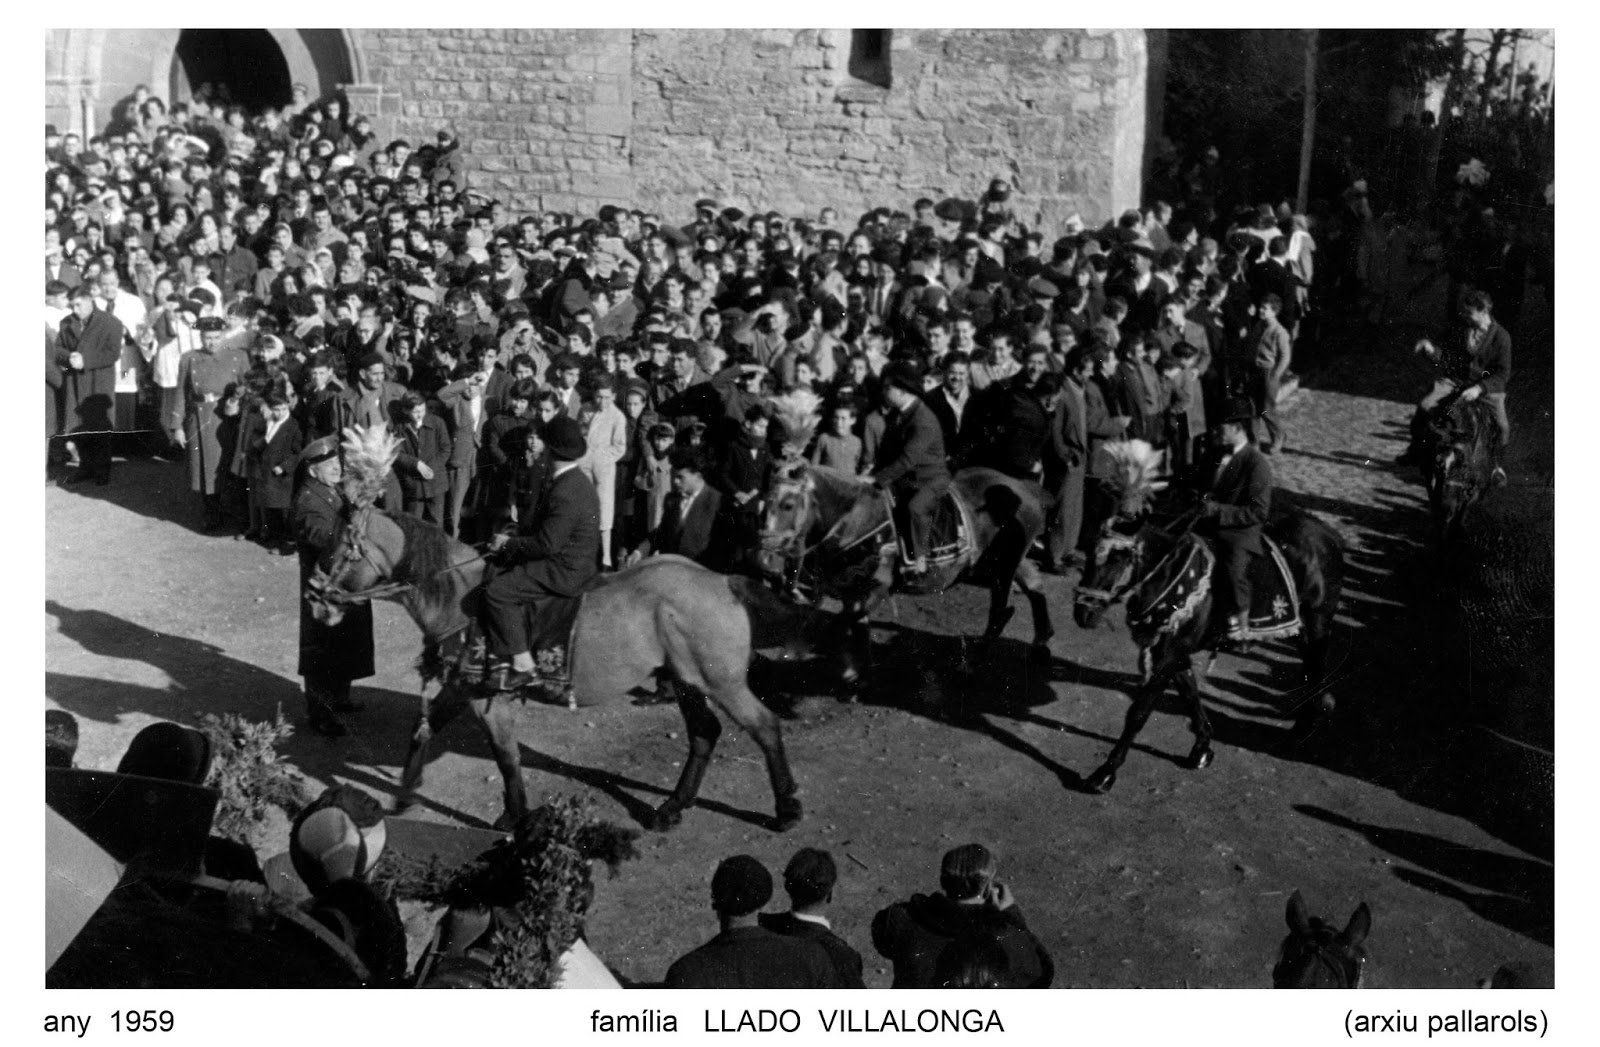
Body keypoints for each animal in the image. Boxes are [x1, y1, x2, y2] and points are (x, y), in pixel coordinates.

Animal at [305, 432, 819, 832]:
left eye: (344, 548)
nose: (314, 596)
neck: (462, 596)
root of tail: (721, 580)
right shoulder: (462, 688)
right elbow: (424, 730)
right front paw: (404, 794)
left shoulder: (490, 699)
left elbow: (507, 758)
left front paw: (515, 816)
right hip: (687, 680)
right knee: (705, 735)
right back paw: (671, 808)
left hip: (720, 681)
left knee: (763, 726)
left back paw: (788, 808)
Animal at [755, 392, 1056, 688]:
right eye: (765, 500)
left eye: (788, 504)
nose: (765, 552)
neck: (858, 518)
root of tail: (1024, 487)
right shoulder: (852, 591)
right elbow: (854, 627)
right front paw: (857, 671)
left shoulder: (876, 588)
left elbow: (840, 626)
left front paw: (822, 661)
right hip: (1007, 559)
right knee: (1035, 585)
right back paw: (1041, 642)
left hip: (1003, 565)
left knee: (1000, 610)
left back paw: (972, 663)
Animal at [1068, 441, 1344, 797]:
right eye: (1089, 551)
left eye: (1119, 556)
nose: (1083, 611)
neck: (1169, 572)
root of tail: (1331, 537)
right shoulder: (1172, 651)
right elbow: (1190, 696)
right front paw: (1202, 748)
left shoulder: (1168, 656)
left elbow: (1139, 712)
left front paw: (1105, 772)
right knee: (1313, 676)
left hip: (1316, 627)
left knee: (1317, 676)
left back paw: (1304, 728)